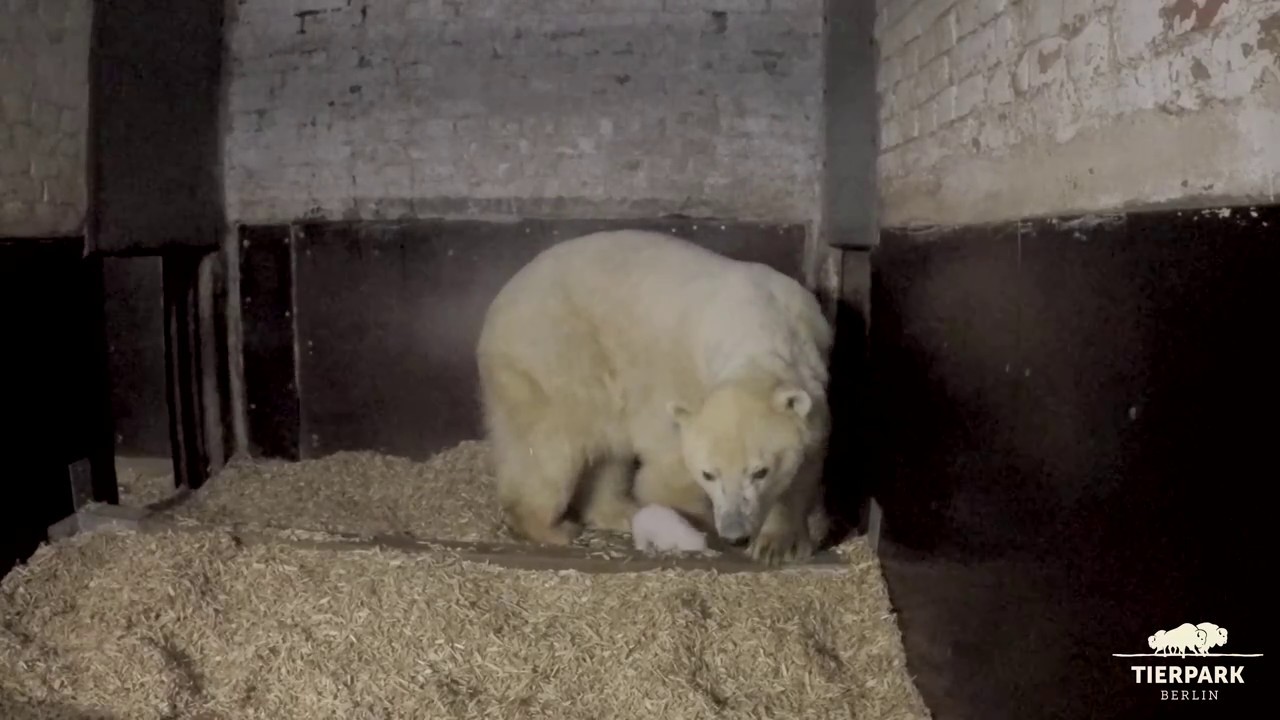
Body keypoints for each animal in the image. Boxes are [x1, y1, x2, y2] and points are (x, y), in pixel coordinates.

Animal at [475, 229, 833, 564]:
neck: (754, 327)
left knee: (607, 453)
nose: (735, 535)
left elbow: (804, 466)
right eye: (709, 474)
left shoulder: (814, 379)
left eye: (760, 472)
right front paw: (690, 525)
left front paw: (779, 544)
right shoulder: (676, 385)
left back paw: (618, 511)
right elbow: (669, 467)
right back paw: (554, 527)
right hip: (554, 358)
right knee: (550, 448)